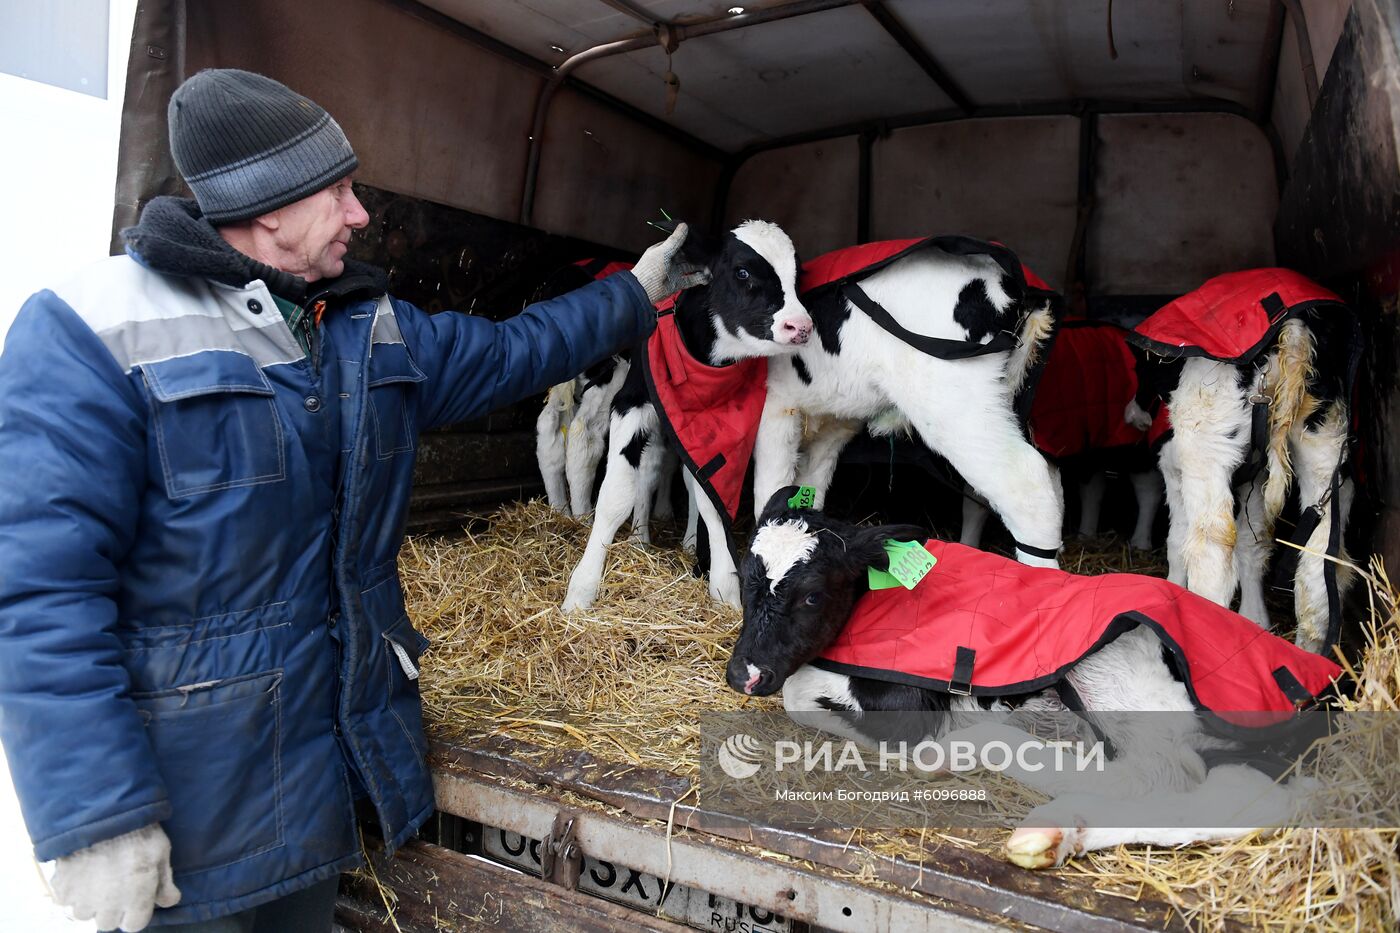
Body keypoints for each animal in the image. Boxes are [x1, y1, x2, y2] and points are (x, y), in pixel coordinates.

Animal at [562, 221, 817, 607]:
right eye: (742, 272)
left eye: (797, 275)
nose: (800, 326)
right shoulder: (631, 401)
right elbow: (615, 495)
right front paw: (582, 588)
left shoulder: (702, 428)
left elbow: (708, 497)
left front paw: (724, 586)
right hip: (605, 377)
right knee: (587, 441)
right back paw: (597, 521)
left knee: (661, 468)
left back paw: (658, 538)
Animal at [728, 487, 1338, 862]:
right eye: (744, 578)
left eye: (810, 595)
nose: (742, 674)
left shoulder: (907, 704)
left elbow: (800, 693)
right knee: (1238, 796)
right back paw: (1057, 827)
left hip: (1118, 674)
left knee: (1161, 773)